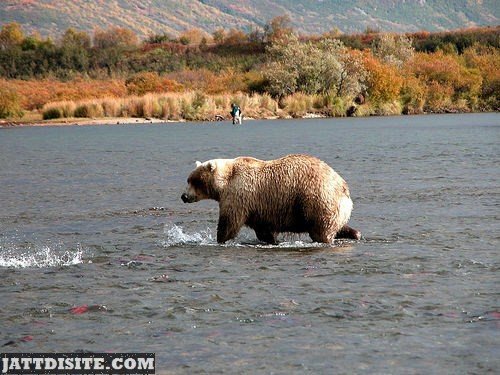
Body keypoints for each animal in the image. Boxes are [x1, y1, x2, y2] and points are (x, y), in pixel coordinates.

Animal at [182, 154, 362, 245]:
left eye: (194, 180)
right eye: (188, 179)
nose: (184, 196)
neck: (223, 183)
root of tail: (344, 187)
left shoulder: (239, 194)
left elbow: (230, 222)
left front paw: (219, 239)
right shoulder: (259, 207)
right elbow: (263, 229)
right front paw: (271, 240)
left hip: (317, 200)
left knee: (321, 230)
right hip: (334, 208)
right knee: (339, 226)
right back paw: (354, 233)